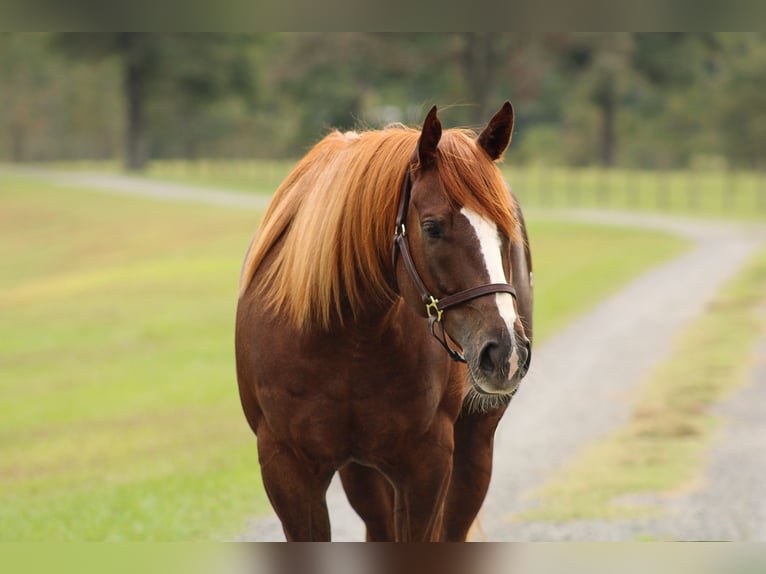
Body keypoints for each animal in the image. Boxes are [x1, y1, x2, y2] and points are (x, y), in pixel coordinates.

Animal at [236, 101, 536, 544]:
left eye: (505, 230)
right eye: (432, 227)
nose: (505, 353)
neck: (348, 339)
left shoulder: (426, 465)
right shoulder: (287, 469)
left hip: (475, 443)